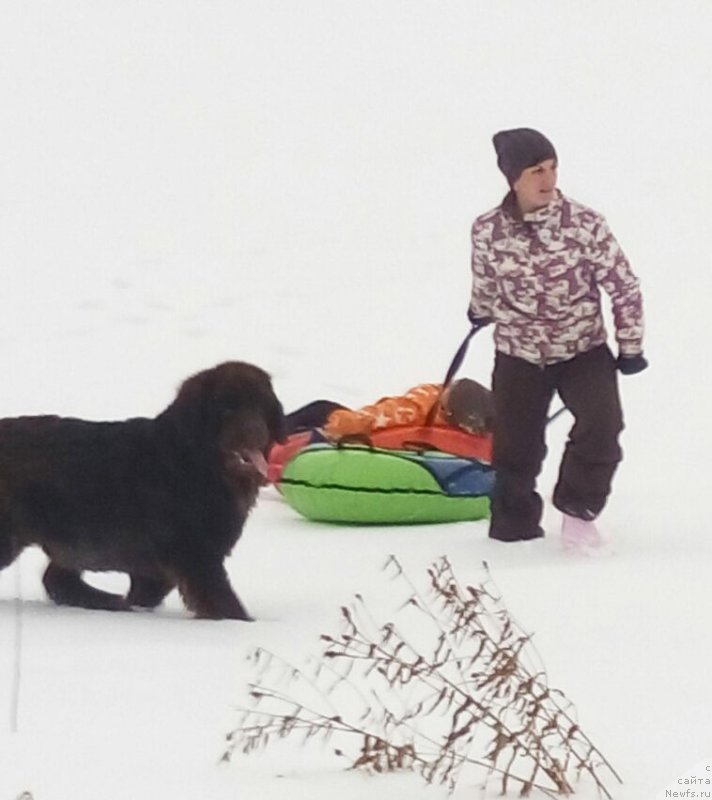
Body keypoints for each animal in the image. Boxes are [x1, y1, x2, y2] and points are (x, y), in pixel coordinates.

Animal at [0, 360, 284, 620]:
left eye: (260, 406)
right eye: (226, 408)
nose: (255, 432)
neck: (198, 461)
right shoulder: (195, 554)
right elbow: (221, 600)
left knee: (57, 580)